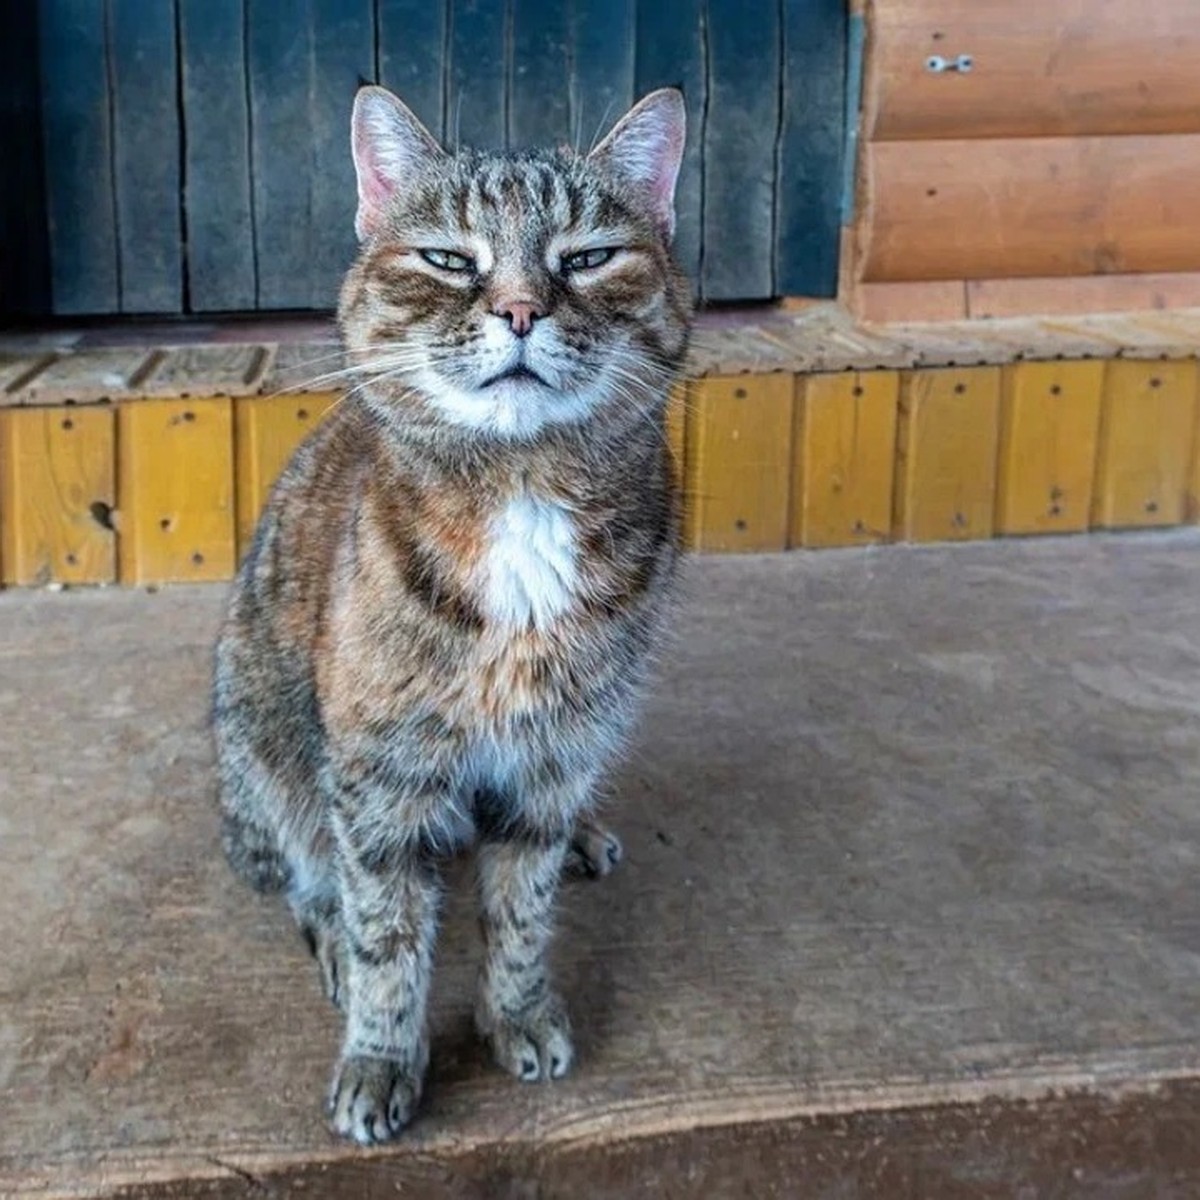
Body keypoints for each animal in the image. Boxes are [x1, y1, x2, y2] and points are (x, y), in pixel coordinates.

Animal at [211, 82, 691, 1142]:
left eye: (587, 258)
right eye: (447, 260)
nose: (517, 309)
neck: (521, 492)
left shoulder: (552, 752)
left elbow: (521, 907)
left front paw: (517, 1012)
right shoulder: (378, 776)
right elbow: (389, 934)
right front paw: (382, 1058)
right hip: (266, 744)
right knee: (306, 875)